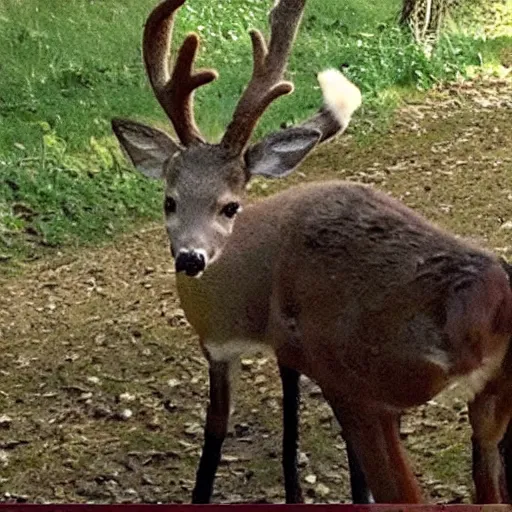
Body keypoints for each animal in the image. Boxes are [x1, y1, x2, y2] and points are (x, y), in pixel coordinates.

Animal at [113, 0, 512, 504]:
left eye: (230, 205)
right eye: (169, 201)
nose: (190, 258)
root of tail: (490, 304)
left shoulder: (265, 357)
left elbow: (214, 443)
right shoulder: (279, 355)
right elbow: (290, 433)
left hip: (366, 384)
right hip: (492, 404)